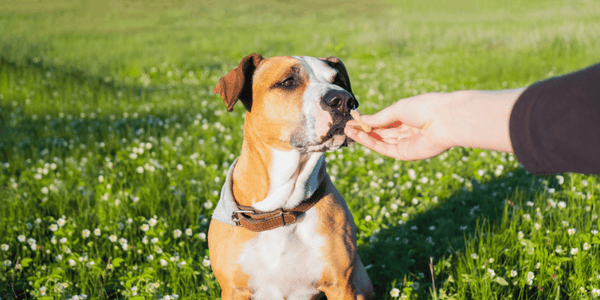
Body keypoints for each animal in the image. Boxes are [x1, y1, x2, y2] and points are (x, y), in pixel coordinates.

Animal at [209, 54, 372, 300]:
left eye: (338, 81)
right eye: (288, 82)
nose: (345, 100)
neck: (281, 208)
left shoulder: (342, 287)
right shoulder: (233, 290)